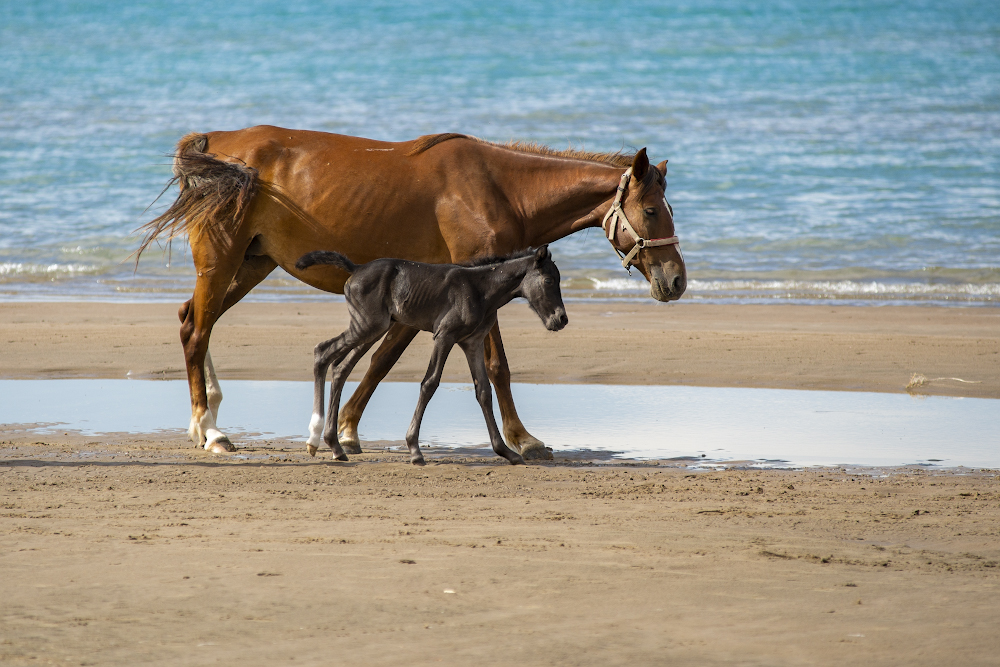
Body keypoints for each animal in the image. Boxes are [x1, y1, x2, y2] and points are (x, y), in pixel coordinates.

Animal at [292, 244, 568, 464]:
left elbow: (483, 391)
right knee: (322, 351)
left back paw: (334, 446)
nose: (561, 319)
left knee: (340, 367)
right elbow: (429, 383)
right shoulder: (444, 336)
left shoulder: (472, 343)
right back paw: (315, 439)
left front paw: (506, 452)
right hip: (367, 326)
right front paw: (414, 450)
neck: (480, 289)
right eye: (548, 281)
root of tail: (356, 268)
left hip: (371, 329)